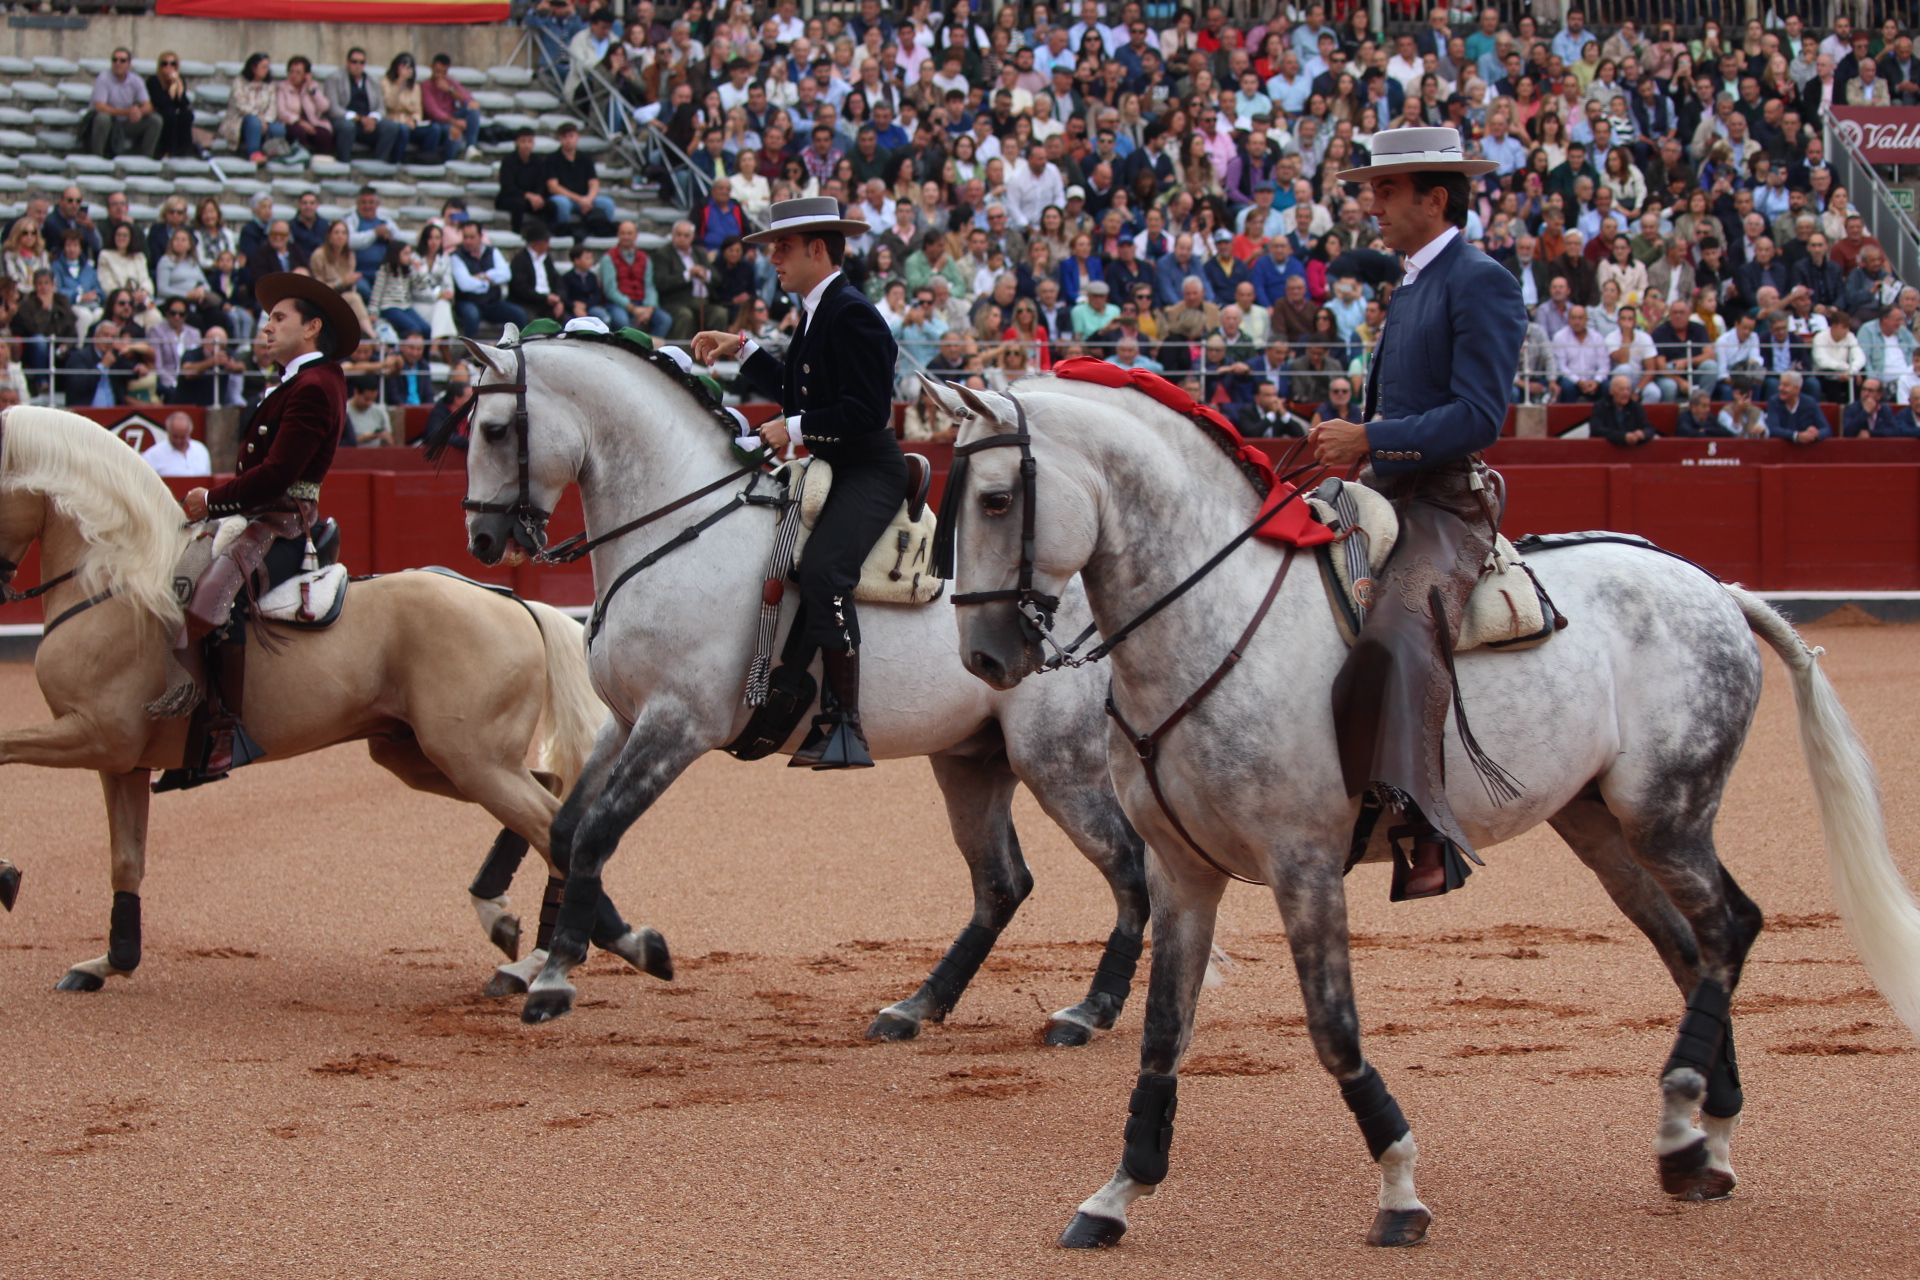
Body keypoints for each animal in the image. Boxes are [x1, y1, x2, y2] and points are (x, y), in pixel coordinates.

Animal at [0, 408, 664, 990]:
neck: (117, 583)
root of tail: (512, 600)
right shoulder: (122, 761)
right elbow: (126, 859)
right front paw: (111, 961)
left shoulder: (95, 735)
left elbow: (4, 750)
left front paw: (7, 875)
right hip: (421, 754)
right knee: (548, 801)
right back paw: (519, 932)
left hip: (468, 758)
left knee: (550, 821)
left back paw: (574, 953)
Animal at [447, 330, 1144, 1043]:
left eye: (496, 429)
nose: (483, 539)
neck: (680, 529)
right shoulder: (623, 721)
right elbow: (564, 829)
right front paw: (632, 946)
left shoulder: (676, 725)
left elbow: (596, 832)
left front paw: (557, 977)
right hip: (972, 761)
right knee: (1002, 884)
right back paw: (917, 1005)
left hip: (1056, 760)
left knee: (1127, 865)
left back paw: (1091, 1011)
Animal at [921, 372, 1912, 1251]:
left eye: (998, 500)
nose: (983, 657)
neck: (1212, 619)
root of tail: (1718, 589)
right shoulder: (1182, 871)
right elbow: (1165, 1032)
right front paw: (1118, 1193)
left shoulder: (1303, 864)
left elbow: (1333, 1029)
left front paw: (1399, 1188)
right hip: (1601, 826)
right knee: (1692, 943)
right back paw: (1708, 1140)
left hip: (1668, 810)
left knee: (1730, 927)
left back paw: (1682, 1125)